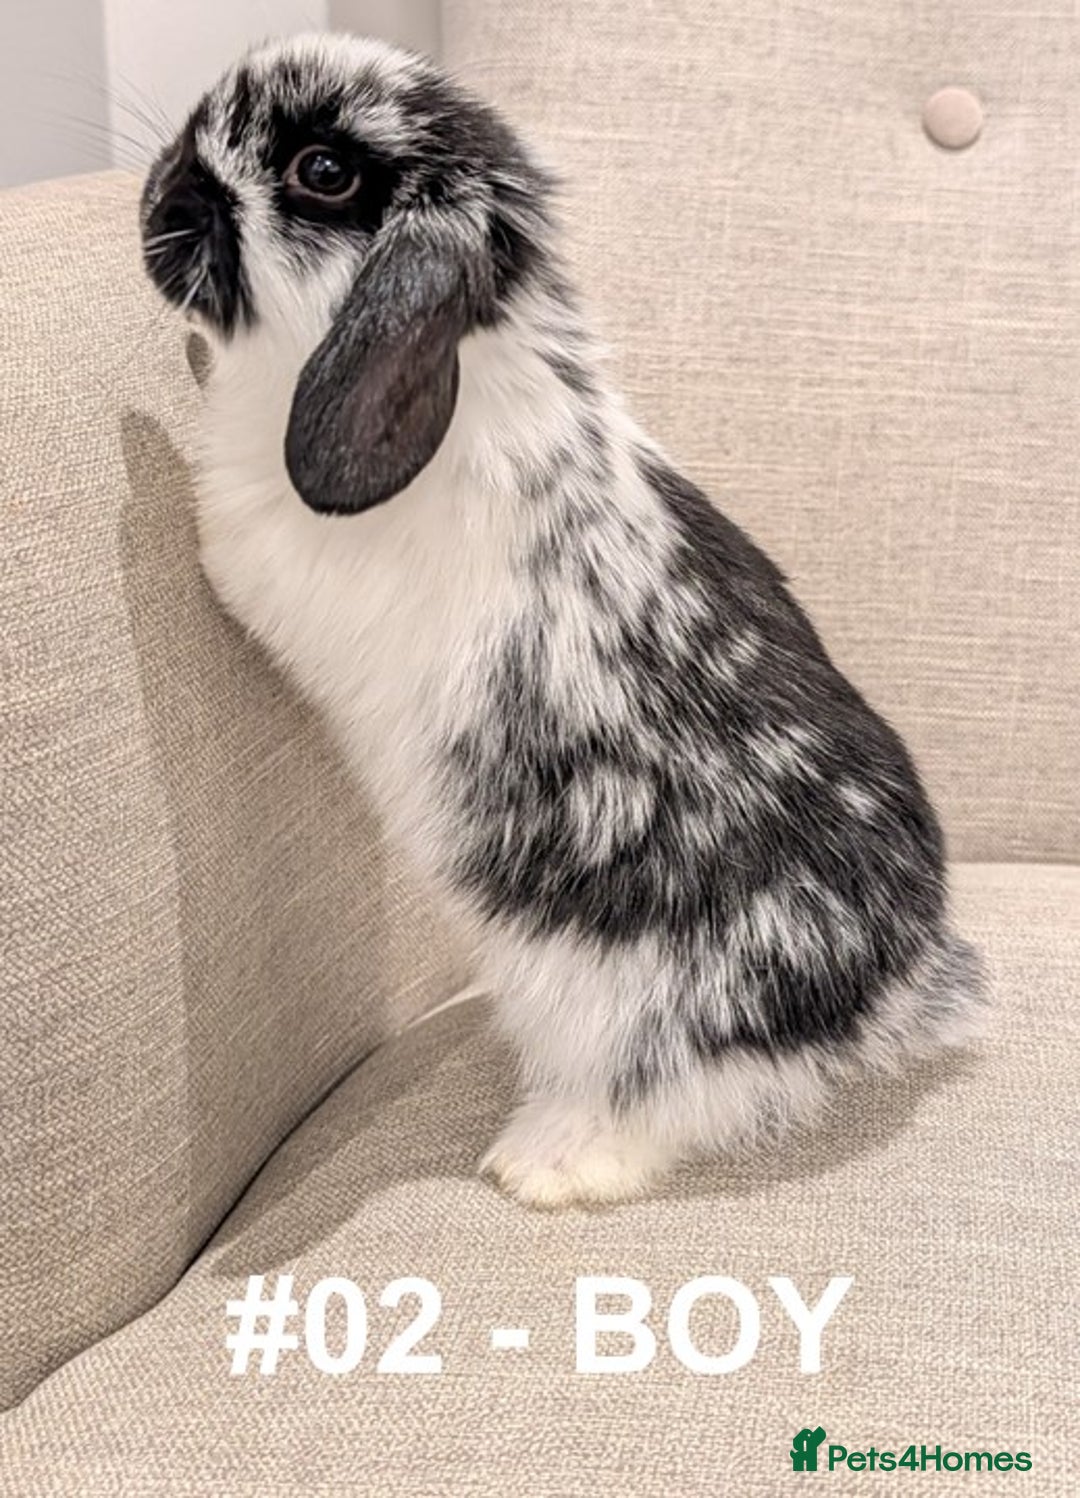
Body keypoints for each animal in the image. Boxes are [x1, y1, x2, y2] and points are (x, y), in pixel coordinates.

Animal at [140, 33, 987, 1208]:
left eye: (322, 170)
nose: (159, 196)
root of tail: (895, 981)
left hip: (630, 1011)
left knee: (681, 1096)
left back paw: (544, 1165)